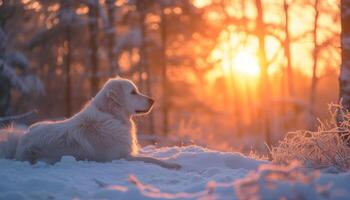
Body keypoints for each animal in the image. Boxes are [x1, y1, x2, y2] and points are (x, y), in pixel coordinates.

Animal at [4, 77, 180, 170]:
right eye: (133, 92)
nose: (153, 100)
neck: (112, 115)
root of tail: (20, 141)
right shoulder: (122, 157)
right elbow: (152, 159)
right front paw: (172, 164)